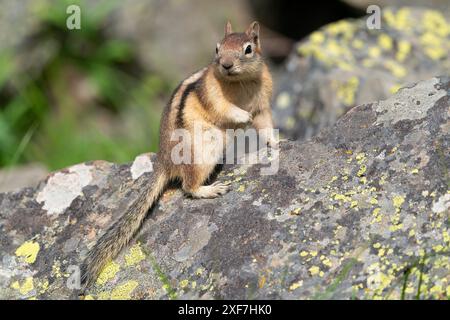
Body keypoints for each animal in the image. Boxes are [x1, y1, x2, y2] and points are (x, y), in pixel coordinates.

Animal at [80, 20, 276, 290]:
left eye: (248, 49)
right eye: (217, 48)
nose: (225, 64)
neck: (241, 83)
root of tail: (163, 161)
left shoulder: (263, 105)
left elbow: (266, 126)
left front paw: (278, 142)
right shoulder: (213, 95)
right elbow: (227, 109)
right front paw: (242, 116)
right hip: (205, 150)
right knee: (188, 186)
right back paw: (211, 189)